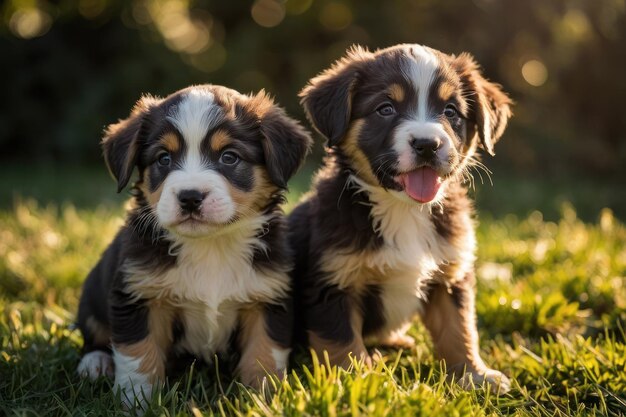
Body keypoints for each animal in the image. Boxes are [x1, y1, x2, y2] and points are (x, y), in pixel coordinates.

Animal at [78, 83, 312, 404]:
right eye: (164, 158)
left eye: (229, 157)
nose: (190, 197)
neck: (211, 246)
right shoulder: (138, 296)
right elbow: (139, 356)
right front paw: (137, 401)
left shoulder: (268, 296)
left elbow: (264, 353)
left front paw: (262, 399)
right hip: (92, 294)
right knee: (93, 336)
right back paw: (96, 363)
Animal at [290, 44, 510, 394]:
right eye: (385, 109)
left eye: (450, 111)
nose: (427, 144)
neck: (405, 210)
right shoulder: (333, 281)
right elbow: (343, 344)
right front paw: (357, 382)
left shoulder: (450, 275)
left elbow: (460, 330)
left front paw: (474, 375)